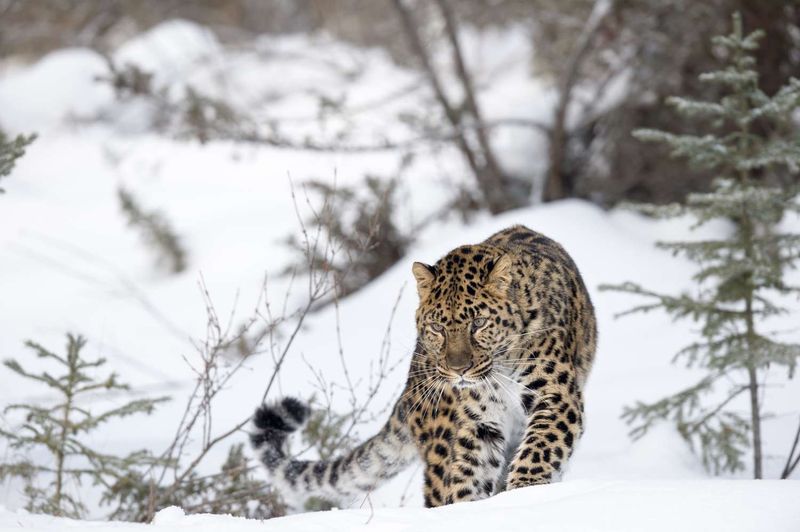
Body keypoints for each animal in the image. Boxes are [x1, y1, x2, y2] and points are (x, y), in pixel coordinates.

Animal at [250, 224, 592, 508]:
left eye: (479, 323)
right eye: (438, 327)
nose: (458, 370)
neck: (501, 367)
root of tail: (409, 387)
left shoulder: (556, 395)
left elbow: (540, 447)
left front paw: (524, 492)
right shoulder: (479, 422)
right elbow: (469, 473)